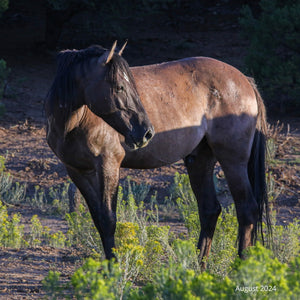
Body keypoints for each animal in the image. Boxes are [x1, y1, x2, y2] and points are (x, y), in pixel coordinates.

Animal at [45, 40, 272, 268]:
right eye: (119, 87)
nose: (146, 132)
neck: (76, 123)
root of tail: (245, 80)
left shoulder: (108, 166)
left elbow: (109, 219)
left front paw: (114, 269)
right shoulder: (77, 171)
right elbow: (99, 219)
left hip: (233, 161)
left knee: (247, 210)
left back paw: (241, 266)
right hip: (200, 160)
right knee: (210, 210)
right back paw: (198, 267)